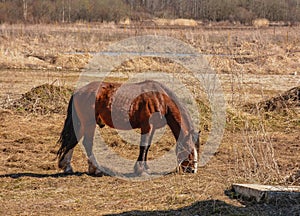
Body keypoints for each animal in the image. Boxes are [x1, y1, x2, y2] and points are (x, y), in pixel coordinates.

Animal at [57, 80, 200, 176]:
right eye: (189, 150)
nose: (193, 170)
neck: (160, 99)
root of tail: (78, 91)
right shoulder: (147, 126)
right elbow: (144, 146)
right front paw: (140, 170)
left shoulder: (152, 128)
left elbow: (147, 146)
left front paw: (145, 168)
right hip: (89, 124)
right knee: (87, 143)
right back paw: (96, 169)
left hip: (82, 124)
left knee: (73, 141)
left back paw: (67, 167)